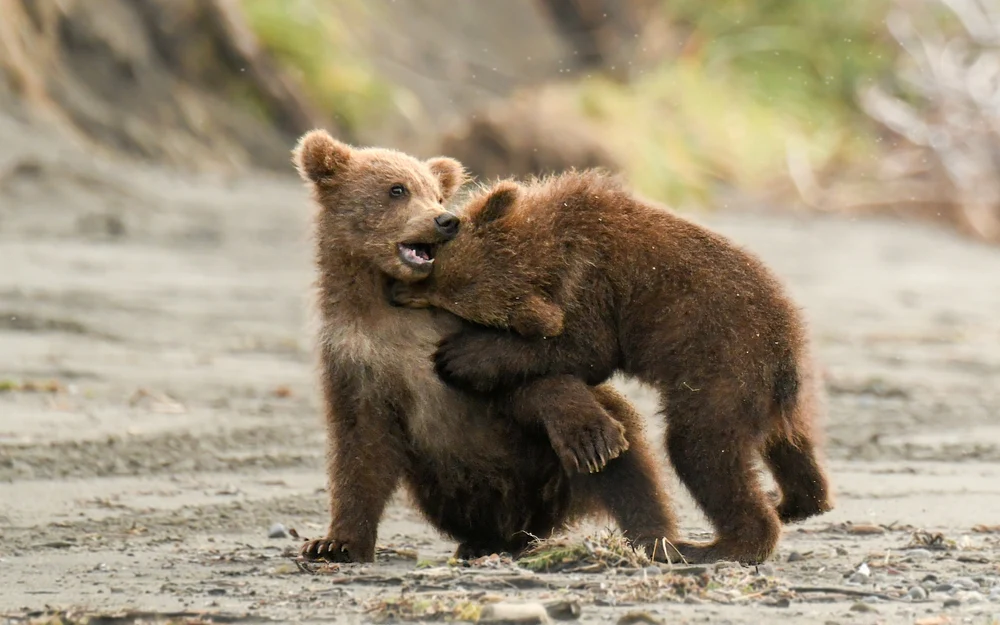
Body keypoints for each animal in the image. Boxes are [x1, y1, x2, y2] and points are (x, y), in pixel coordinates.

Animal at [292, 129, 685, 564]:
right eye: (397, 189)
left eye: (437, 195)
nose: (446, 221)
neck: (388, 309)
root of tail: (535, 520)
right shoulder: (354, 354)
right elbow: (361, 445)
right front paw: (334, 543)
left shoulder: (465, 328)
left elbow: (523, 371)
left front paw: (590, 435)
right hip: (446, 490)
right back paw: (481, 542)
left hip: (545, 472)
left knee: (629, 465)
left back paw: (653, 535)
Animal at [388, 169, 834, 565]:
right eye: (434, 268)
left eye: (439, 294)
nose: (396, 291)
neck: (551, 241)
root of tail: (785, 359)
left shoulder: (595, 286)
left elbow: (584, 349)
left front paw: (464, 356)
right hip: (792, 392)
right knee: (792, 448)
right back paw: (795, 500)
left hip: (724, 373)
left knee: (703, 450)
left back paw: (720, 546)